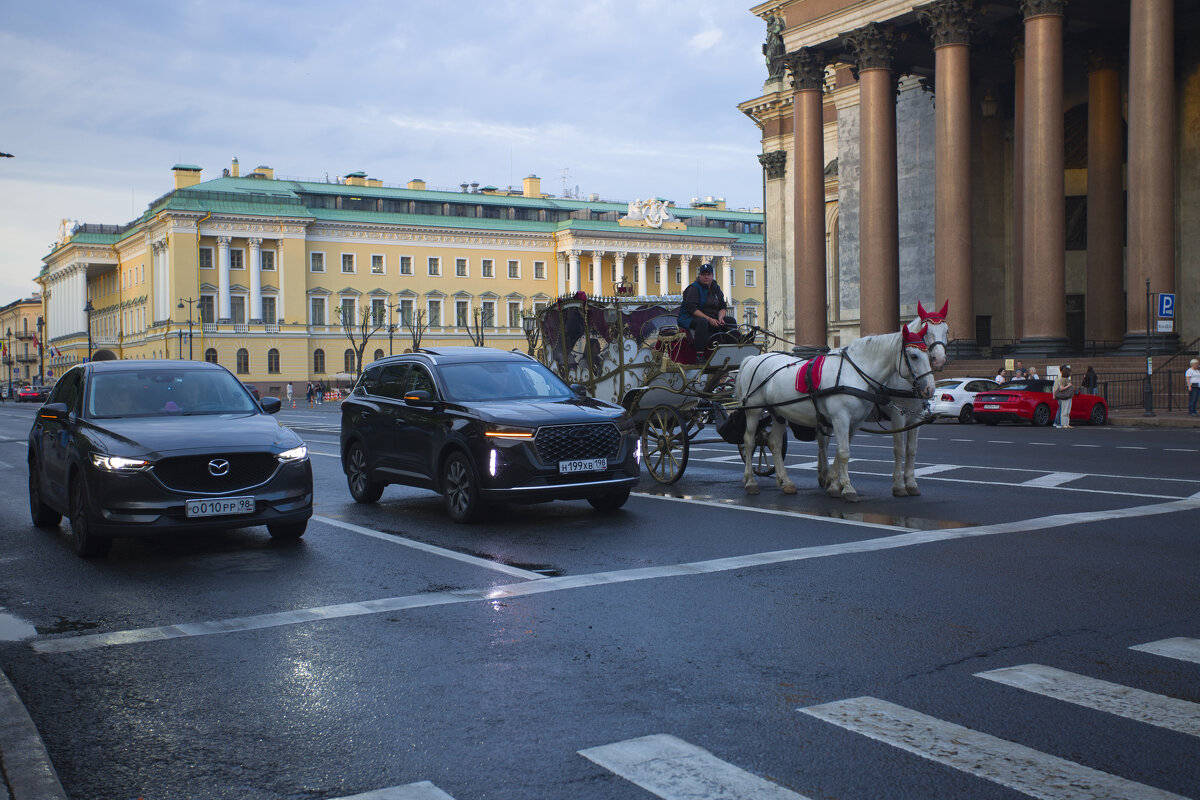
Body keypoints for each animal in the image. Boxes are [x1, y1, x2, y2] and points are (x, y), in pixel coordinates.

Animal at [729, 326, 936, 501]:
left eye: (929, 355)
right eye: (914, 355)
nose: (930, 389)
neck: (853, 373)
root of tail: (752, 359)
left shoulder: (854, 422)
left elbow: (840, 451)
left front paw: (833, 485)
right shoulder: (843, 418)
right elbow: (845, 453)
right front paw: (848, 489)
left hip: (778, 413)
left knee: (774, 443)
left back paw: (786, 482)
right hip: (754, 410)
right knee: (749, 441)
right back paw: (750, 481)